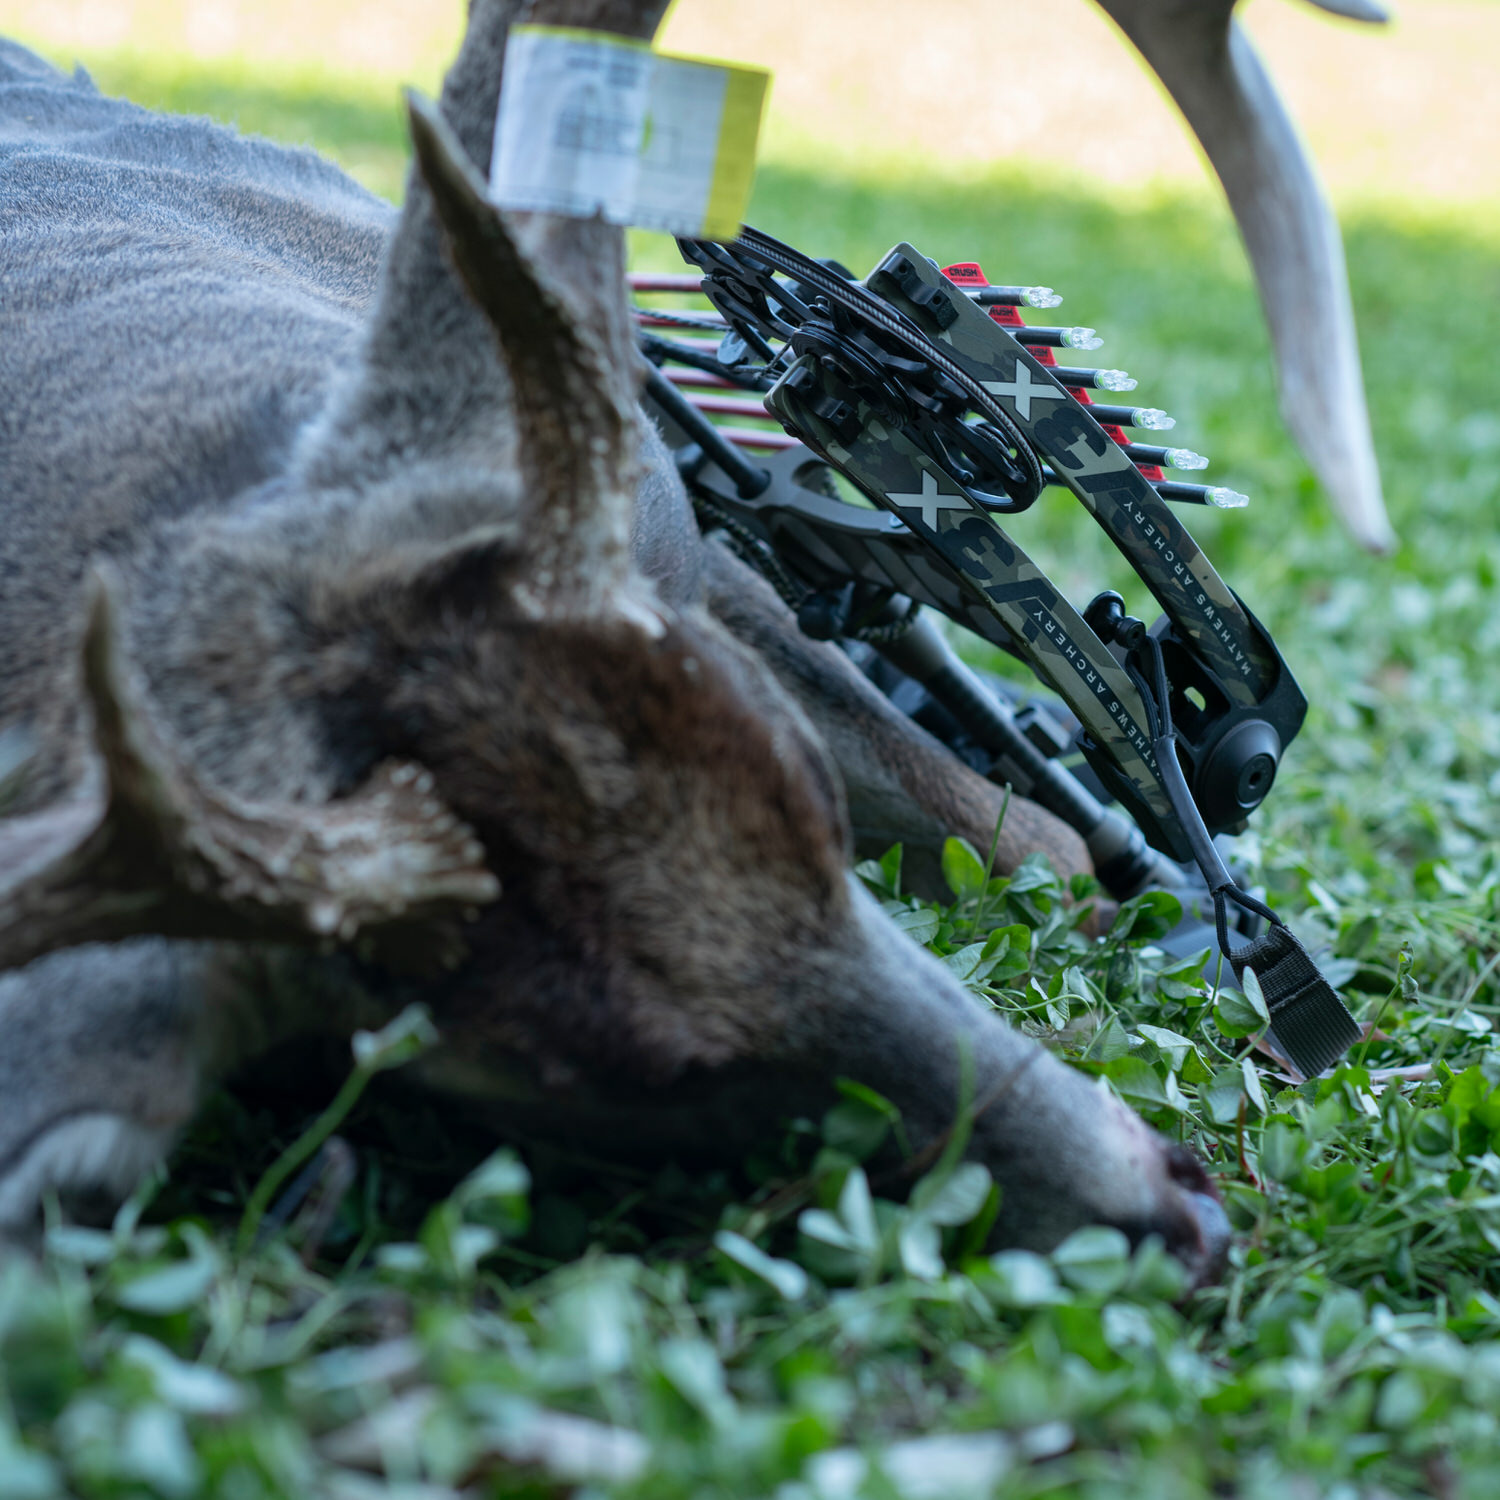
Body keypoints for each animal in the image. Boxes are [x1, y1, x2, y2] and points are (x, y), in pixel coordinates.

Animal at [0, 0, 1380, 1278]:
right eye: (643, 1079)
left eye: (816, 811)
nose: (1192, 1216)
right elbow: (1057, 855)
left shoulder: (697, 569)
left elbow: (1042, 846)